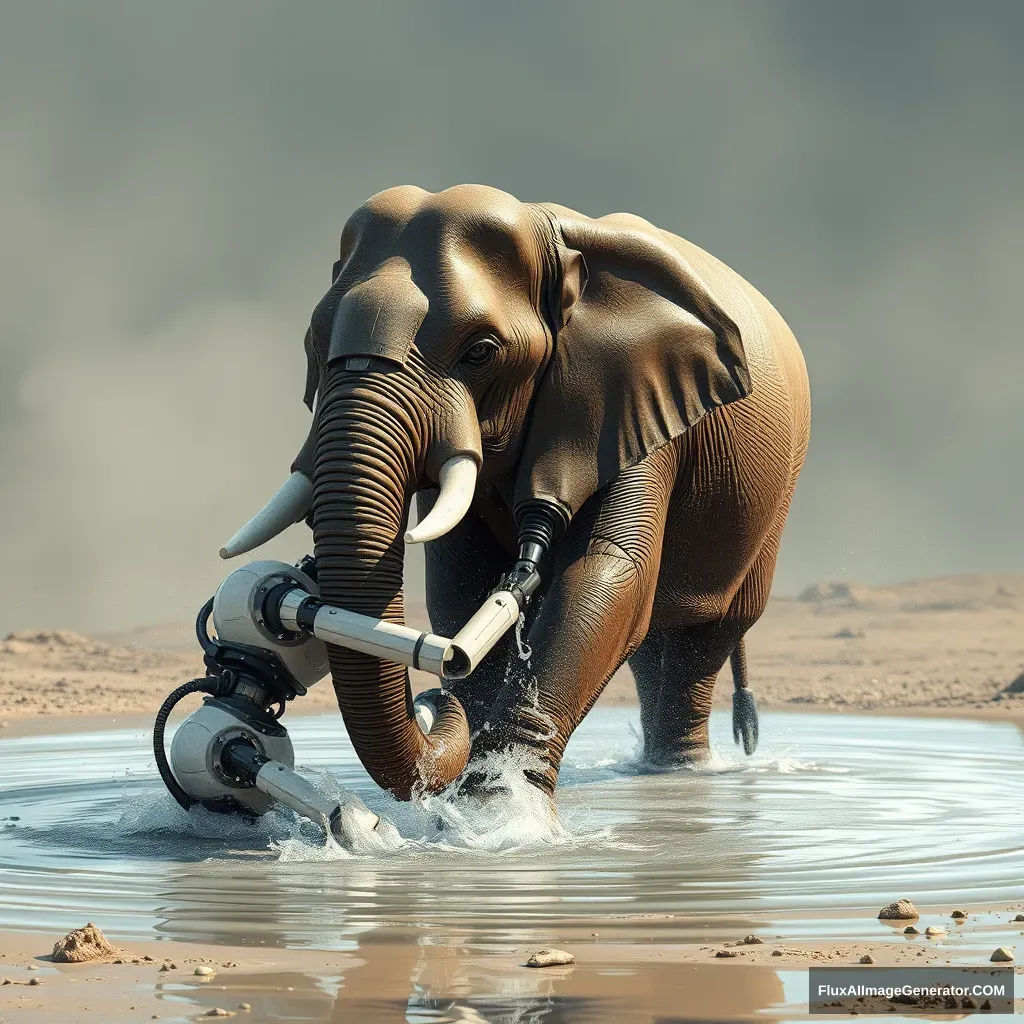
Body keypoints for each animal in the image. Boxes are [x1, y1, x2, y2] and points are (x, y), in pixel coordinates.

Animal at [222, 186, 806, 806]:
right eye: (314, 341)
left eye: (480, 352)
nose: (431, 701)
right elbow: (462, 583)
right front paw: (469, 792)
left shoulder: (632, 403)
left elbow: (607, 571)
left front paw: (500, 809)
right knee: (656, 650)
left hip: (770, 505)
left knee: (701, 643)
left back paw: (680, 773)